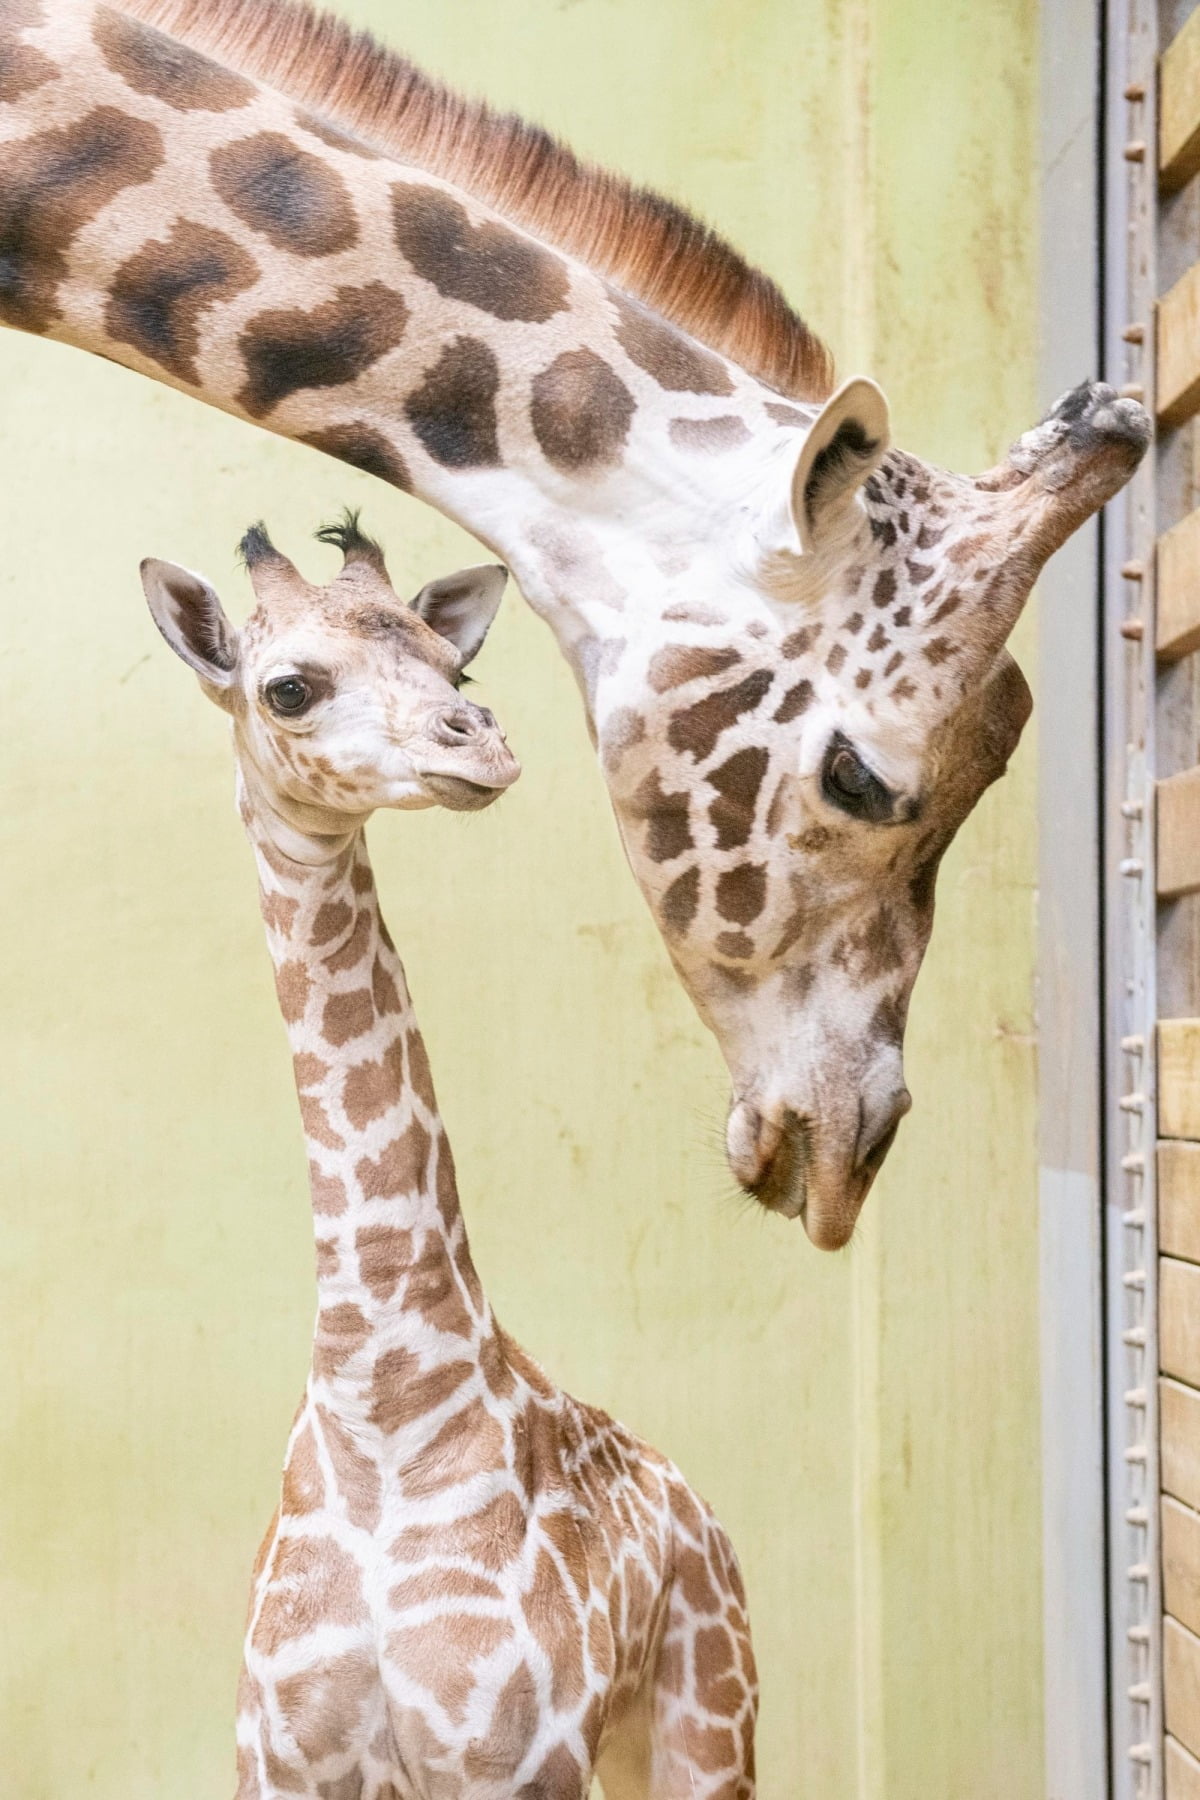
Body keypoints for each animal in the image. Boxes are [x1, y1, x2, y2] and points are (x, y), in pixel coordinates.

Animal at [141, 511, 755, 1800]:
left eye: (452, 669)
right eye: (287, 688)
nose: (483, 744)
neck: (381, 1410)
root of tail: (696, 1503)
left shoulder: (511, 1762)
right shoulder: (281, 1764)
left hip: (705, 1723)